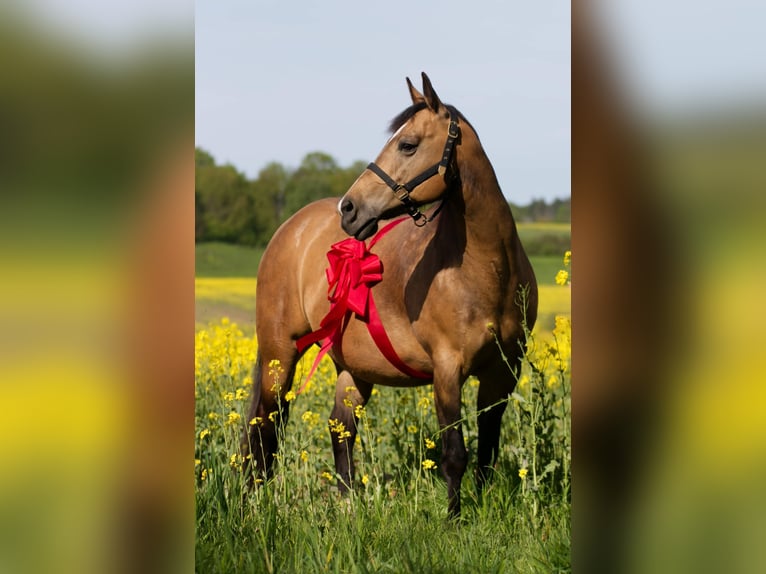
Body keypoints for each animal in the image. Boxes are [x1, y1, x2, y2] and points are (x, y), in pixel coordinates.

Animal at [246, 73, 540, 520]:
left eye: (408, 144)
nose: (349, 209)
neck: (488, 269)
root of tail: (289, 229)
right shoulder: (447, 370)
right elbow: (455, 453)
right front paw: (453, 522)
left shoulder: (502, 373)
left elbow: (488, 449)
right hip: (281, 354)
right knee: (265, 426)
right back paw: (253, 503)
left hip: (353, 368)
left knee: (340, 429)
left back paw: (349, 506)